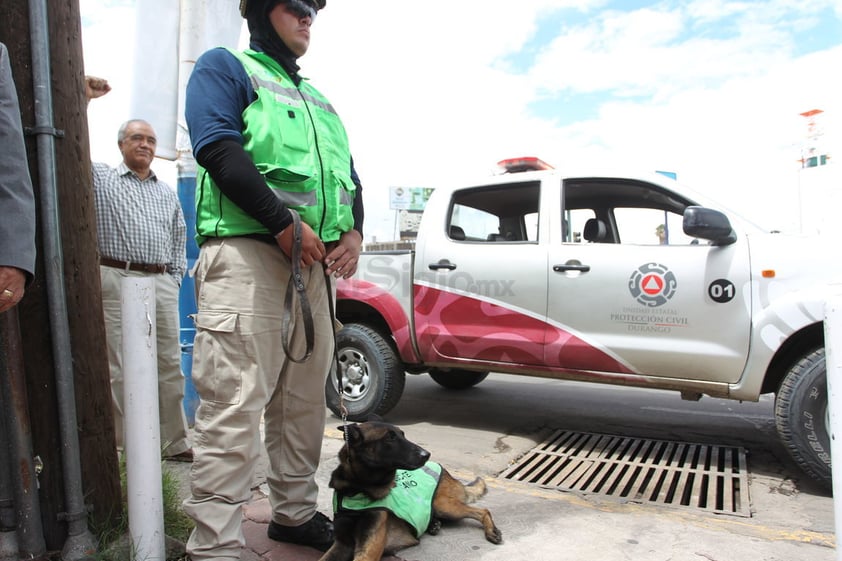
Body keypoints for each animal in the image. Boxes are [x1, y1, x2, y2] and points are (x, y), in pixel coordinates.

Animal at [316, 418, 498, 556]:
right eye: (390, 438)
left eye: (402, 435)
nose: (426, 454)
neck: (358, 488)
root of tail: (448, 474)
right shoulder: (342, 544)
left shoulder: (367, 550)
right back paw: (433, 524)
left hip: (442, 505)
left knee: (483, 510)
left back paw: (491, 531)